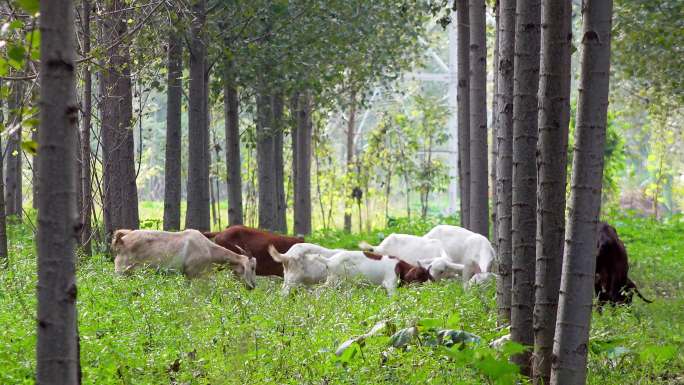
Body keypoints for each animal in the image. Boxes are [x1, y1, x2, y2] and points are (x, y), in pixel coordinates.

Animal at [112, 228, 256, 288]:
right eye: (253, 267)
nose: (252, 286)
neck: (208, 249)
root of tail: (121, 241)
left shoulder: (187, 276)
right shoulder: (195, 274)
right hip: (121, 272)